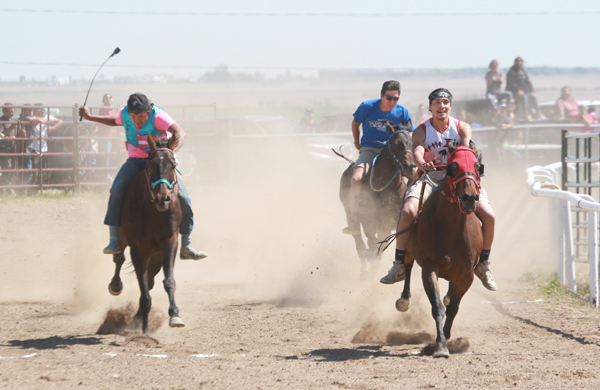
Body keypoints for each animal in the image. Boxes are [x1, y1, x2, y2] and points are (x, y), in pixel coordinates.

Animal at [106, 136, 184, 334]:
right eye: (151, 165)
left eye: (173, 165)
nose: (163, 198)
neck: (154, 212)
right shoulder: (138, 249)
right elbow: (144, 291)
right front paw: (144, 329)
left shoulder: (170, 242)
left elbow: (168, 281)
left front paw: (174, 315)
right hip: (124, 241)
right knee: (119, 259)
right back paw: (116, 286)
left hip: (155, 256)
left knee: (150, 280)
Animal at [340, 120, 414, 276]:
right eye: (396, 143)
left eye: (411, 142)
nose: (410, 166)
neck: (387, 188)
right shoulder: (368, 221)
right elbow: (371, 243)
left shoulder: (388, 223)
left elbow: (381, 244)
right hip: (351, 214)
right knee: (359, 242)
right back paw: (364, 270)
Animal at [398, 145, 482, 358]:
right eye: (453, 166)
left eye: (478, 166)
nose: (470, 198)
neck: (451, 229)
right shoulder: (429, 270)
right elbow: (437, 307)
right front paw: (441, 345)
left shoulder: (467, 275)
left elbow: (452, 308)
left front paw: (447, 338)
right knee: (407, 265)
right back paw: (403, 296)